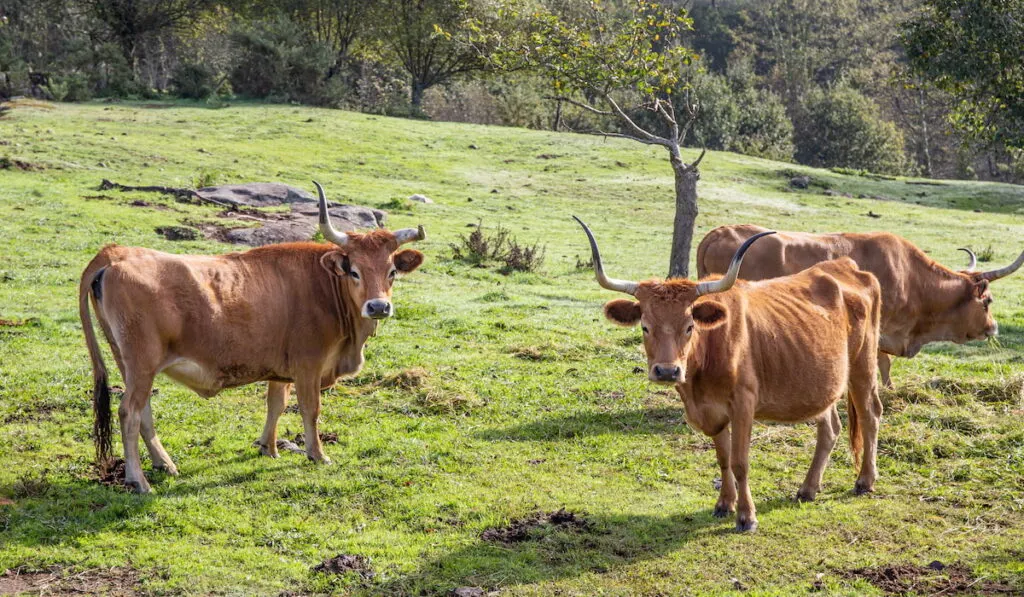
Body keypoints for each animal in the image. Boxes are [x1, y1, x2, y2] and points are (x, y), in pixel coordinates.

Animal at [78, 183, 423, 495]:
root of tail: (115, 253)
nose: (378, 306)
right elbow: (310, 409)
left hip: (131, 364)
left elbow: (276, 405)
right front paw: (317, 455)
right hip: (142, 362)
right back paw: (138, 479)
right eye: (355, 271)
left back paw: (164, 463)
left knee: (144, 412)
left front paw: (268, 447)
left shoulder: (282, 369)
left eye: (392, 272)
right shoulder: (308, 366)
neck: (324, 286)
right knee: (129, 413)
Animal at [573, 216, 884, 532]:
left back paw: (865, 481)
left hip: (863, 365)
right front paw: (724, 503)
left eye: (689, 326)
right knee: (830, 427)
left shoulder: (743, 405)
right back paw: (808, 489)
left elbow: (740, 462)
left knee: (870, 414)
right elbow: (723, 459)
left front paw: (746, 516)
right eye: (645, 326)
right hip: (823, 383)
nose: (667, 371)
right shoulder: (712, 411)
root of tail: (847, 267)